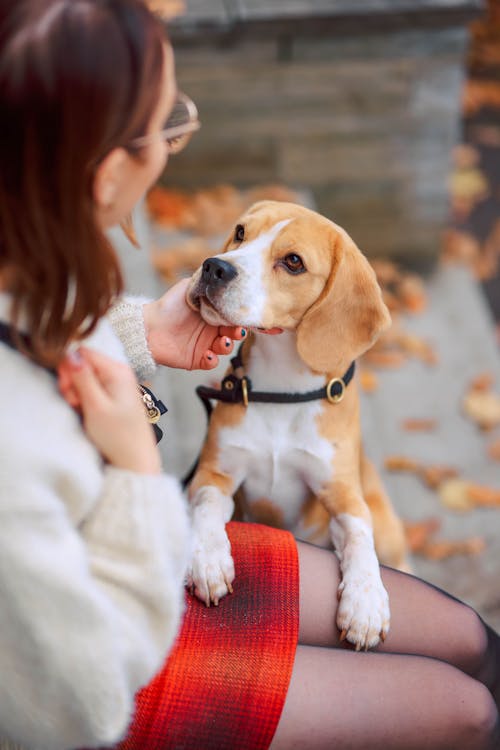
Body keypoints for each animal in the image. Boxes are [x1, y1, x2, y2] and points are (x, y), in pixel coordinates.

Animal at [186, 200, 408, 652]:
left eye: (293, 262)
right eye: (241, 232)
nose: (214, 267)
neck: (282, 388)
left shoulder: (343, 495)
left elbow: (359, 537)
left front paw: (366, 601)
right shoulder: (215, 473)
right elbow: (206, 506)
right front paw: (209, 557)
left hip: (387, 525)